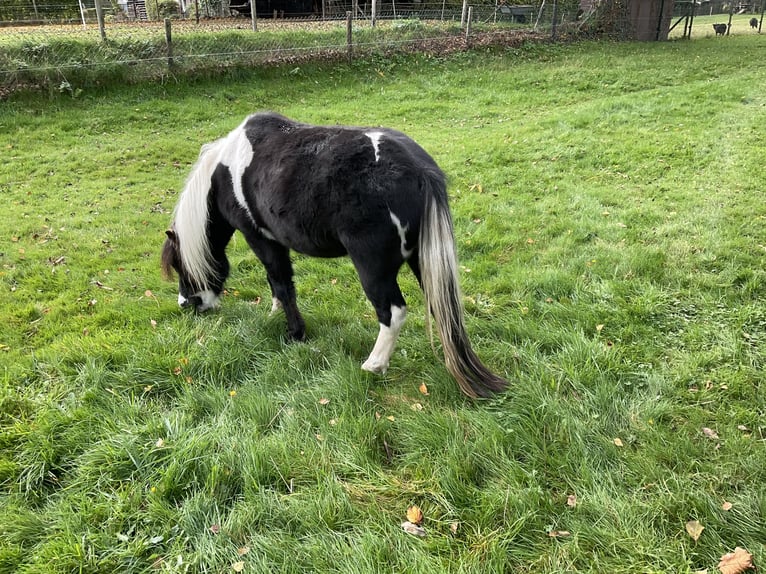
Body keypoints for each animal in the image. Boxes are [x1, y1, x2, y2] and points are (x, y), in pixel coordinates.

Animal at [161, 112, 508, 398]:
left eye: (180, 266)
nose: (186, 304)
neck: (225, 171)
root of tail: (420, 170)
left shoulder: (260, 238)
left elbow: (281, 281)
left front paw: (295, 333)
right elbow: (276, 283)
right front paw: (274, 314)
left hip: (373, 269)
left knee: (392, 312)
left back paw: (373, 365)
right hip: (423, 261)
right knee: (442, 306)